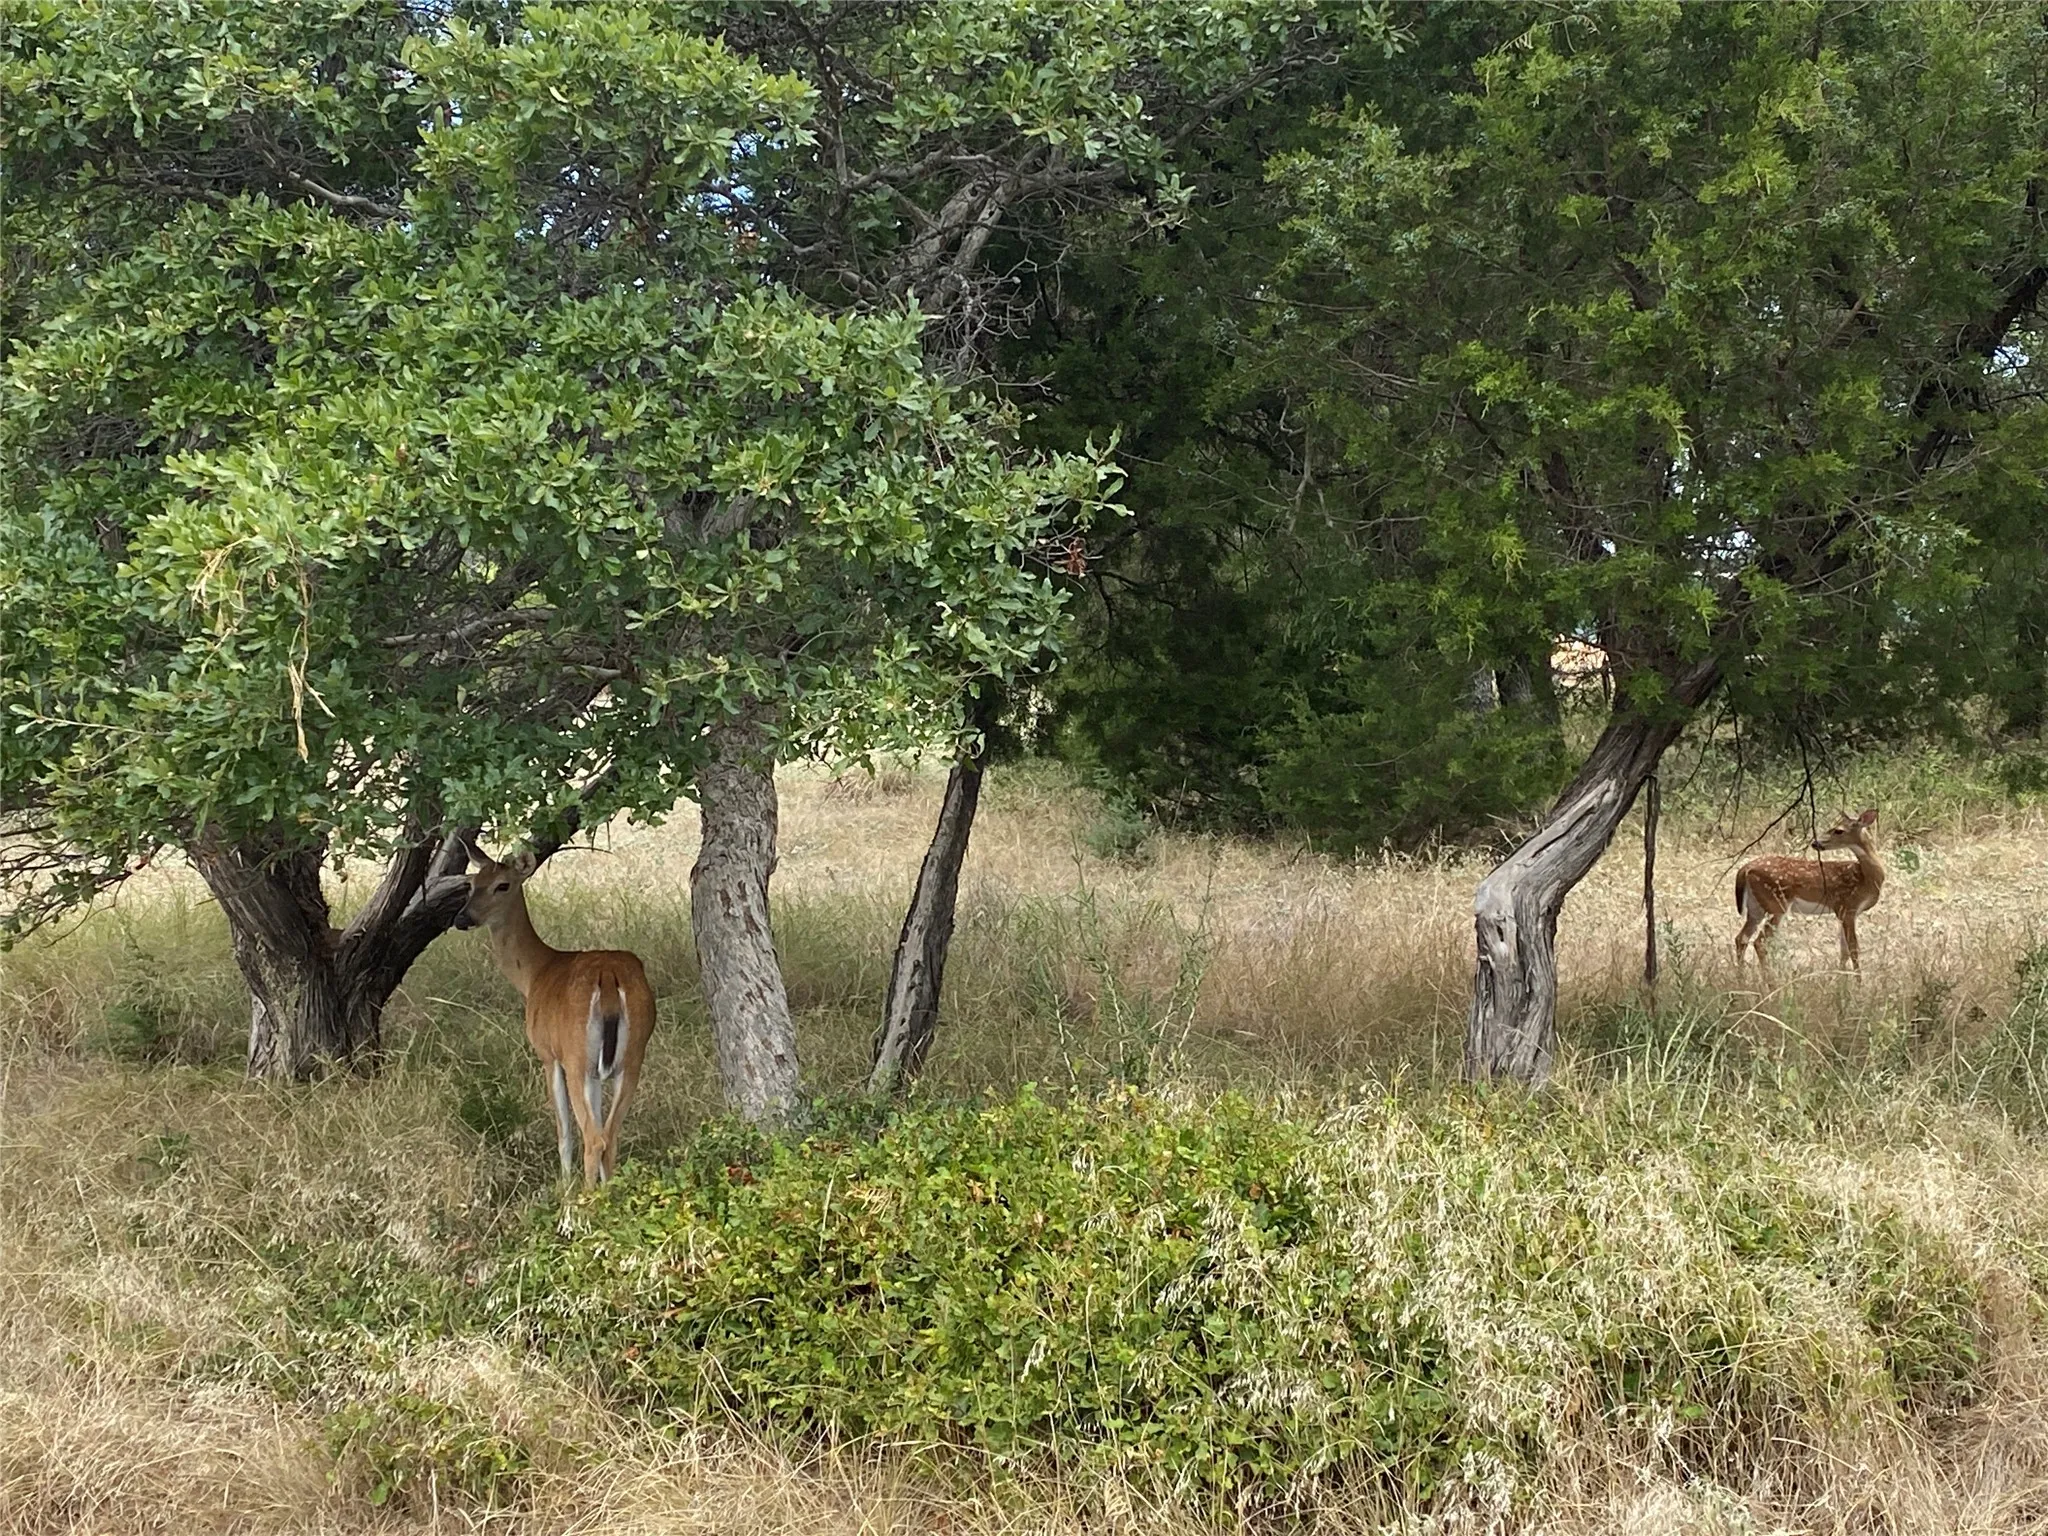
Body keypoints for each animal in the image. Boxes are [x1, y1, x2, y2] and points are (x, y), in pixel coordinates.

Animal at [452, 836, 656, 1185]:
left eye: (503, 885)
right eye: (471, 883)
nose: (463, 918)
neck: (535, 973)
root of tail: (608, 978)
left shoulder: (548, 1054)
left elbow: (563, 1132)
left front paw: (564, 1185)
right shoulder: (595, 1071)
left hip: (576, 1057)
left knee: (593, 1137)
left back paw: (583, 1199)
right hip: (631, 1058)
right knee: (610, 1136)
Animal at [1732, 808, 1885, 974]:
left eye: (1838, 830)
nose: (1815, 843)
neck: (1867, 879)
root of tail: (1745, 869)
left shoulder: (1845, 912)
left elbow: (1844, 951)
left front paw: (1841, 979)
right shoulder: (1847, 906)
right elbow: (1853, 949)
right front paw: (1857, 980)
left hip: (1756, 906)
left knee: (1741, 938)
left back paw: (1742, 977)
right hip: (1776, 902)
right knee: (1760, 942)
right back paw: (1769, 979)